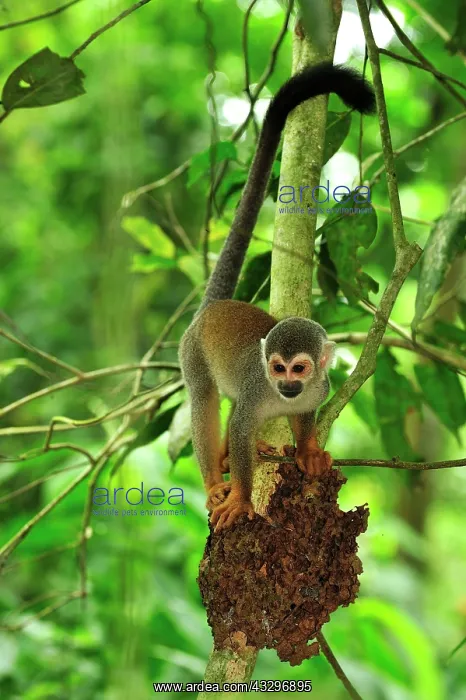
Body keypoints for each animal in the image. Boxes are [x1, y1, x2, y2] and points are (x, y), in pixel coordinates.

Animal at [179, 62, 375, 531]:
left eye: (299, 368)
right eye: (276, 367)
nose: (286, 385)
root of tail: (213, 306)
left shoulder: (319, 389)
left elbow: (304, 420)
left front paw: (307, 451)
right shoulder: (255, 389)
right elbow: (239, 427)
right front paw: (240, 497)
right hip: (191, 352)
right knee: (205, 400)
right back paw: (215, 479)